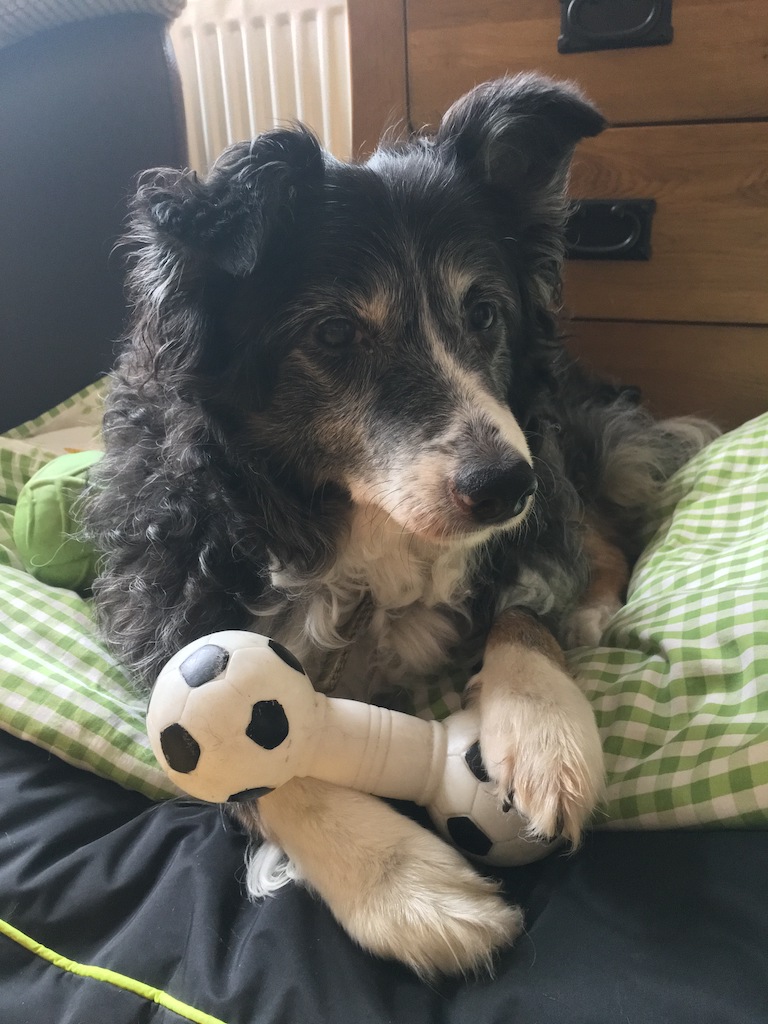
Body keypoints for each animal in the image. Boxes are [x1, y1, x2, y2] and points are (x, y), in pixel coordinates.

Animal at [87, 74, 720, 974]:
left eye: (484, 312)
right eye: (335, 332)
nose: (504, 489)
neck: (354, 526)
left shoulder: (524, 494)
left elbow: (523, 604)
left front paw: (546, 731)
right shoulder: (165, 629)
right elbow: (257, 762)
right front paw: (409, 889)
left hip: (553, 432)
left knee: (600, 527)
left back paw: (592, 608)